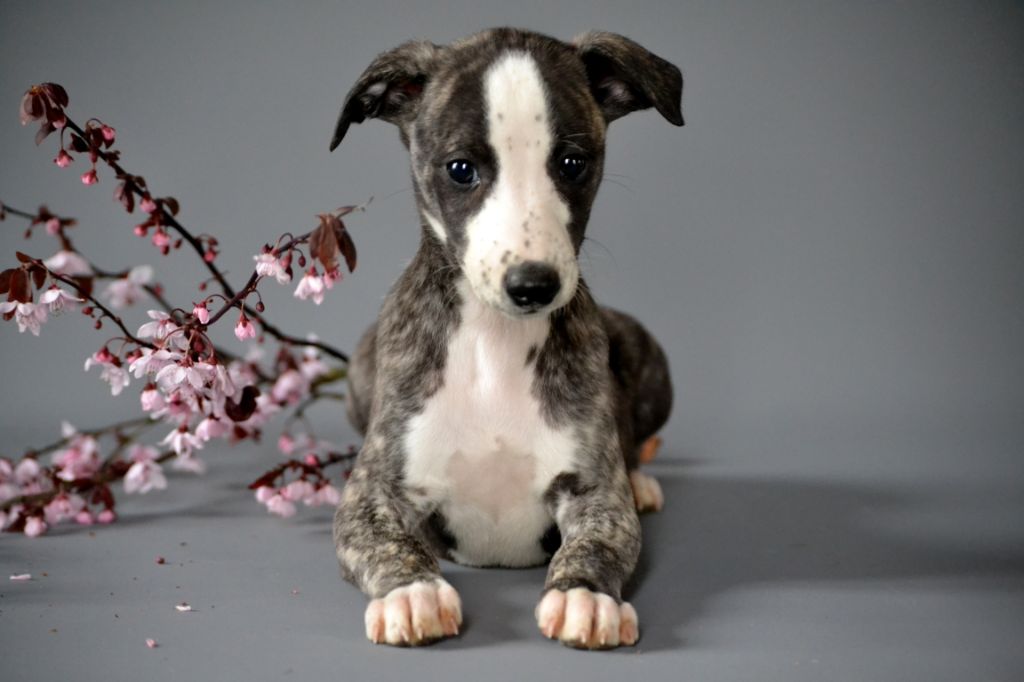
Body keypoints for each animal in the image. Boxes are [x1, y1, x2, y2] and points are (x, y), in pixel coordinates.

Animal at [329, 27, 681, 649]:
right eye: (460, 168)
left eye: (572, 163)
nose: (533, 285)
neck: (494, 342)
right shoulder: (372, 495)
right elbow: (384, 540)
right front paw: (411, 592)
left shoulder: (596, 492)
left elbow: (601, 540)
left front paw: (585, 596)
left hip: (648, 352)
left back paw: (641, 479)